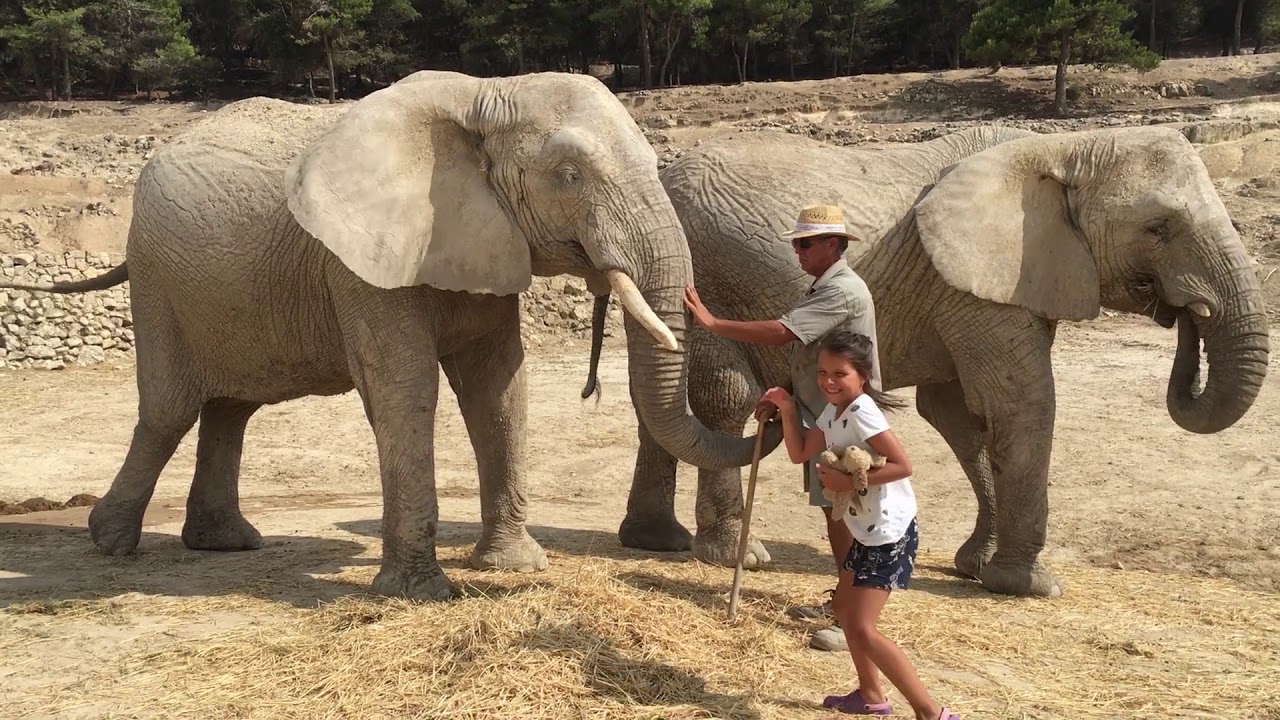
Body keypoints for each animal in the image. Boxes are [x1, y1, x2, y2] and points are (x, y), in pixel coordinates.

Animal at [0, 68, 768, 599]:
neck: (488, 96)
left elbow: (498, 388)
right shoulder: (360, 260)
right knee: (169, 411)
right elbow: (405, 388)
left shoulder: (486, 237)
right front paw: (422, 593)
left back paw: (226, 545)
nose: (769, 407)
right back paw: (111, 543)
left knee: (231, 410)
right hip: (161, 282)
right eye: (569, 174)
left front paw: (514, 567)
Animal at [591, 122, 1269, 594]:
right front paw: (1027, 586)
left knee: (664, 403)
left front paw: (976, 567)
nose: (1190, 311)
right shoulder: (978, 286)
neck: (1066, 149)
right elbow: (1020, 404)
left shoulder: (1000, 287)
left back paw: (658, 542)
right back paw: (736, 554)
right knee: (722, 396)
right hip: (703, 263)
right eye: (1159, 228)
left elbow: (961, 414)